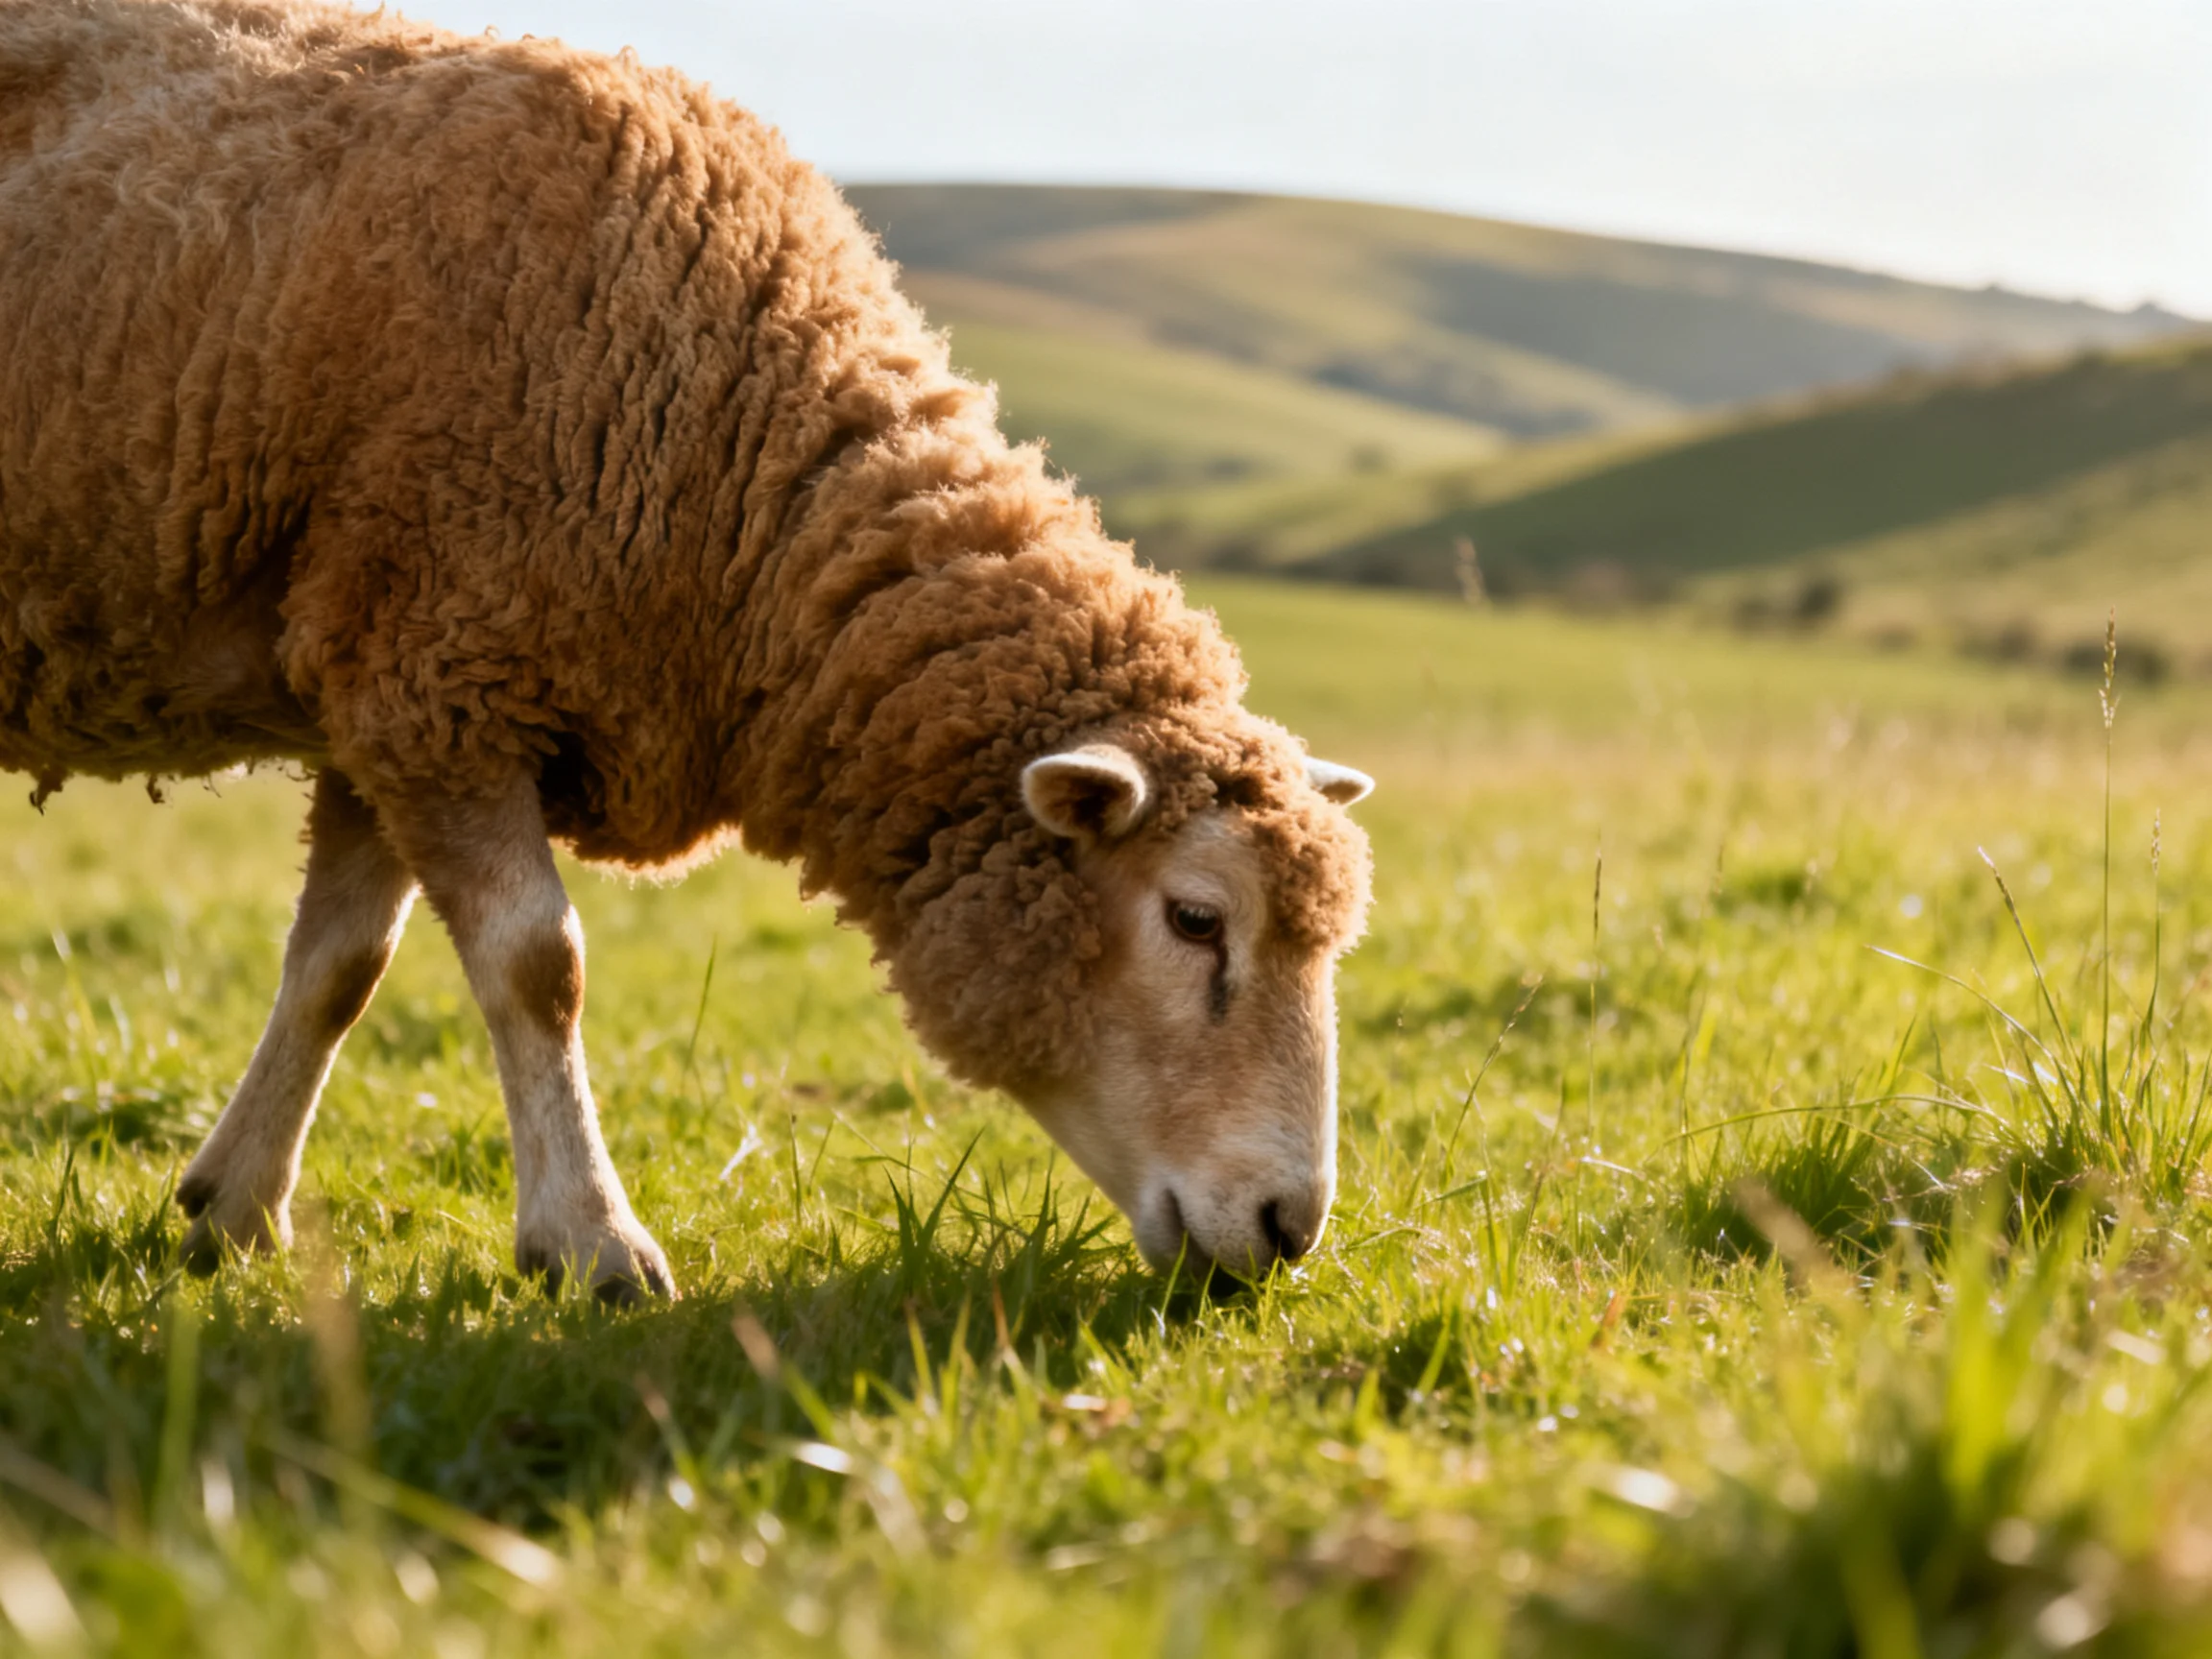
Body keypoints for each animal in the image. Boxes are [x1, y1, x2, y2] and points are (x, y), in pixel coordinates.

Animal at [0, 0, 1375, 1300]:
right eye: (1195, 919)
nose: (1289, 1230)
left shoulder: (379, 678)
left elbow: (340, 966)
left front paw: (235, 1209)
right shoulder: (439, 678)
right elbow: (537, 966)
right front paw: (591, 1243)